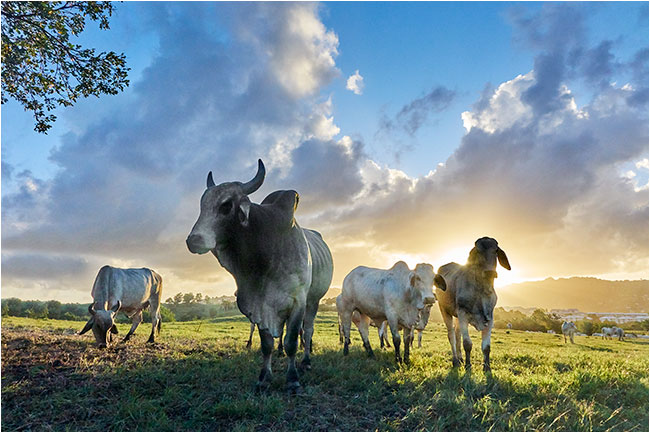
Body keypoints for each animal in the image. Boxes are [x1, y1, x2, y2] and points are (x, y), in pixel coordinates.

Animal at [185, 159, 332, 392]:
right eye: (202, 205)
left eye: (226, 205)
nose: (194, 240)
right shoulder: (259, 305)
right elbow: (267, 344)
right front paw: (264, 377)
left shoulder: (298, 300)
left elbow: (292, 341)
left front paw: (292, 379)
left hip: (314, 300)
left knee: (307, 330)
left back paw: (306, 361)